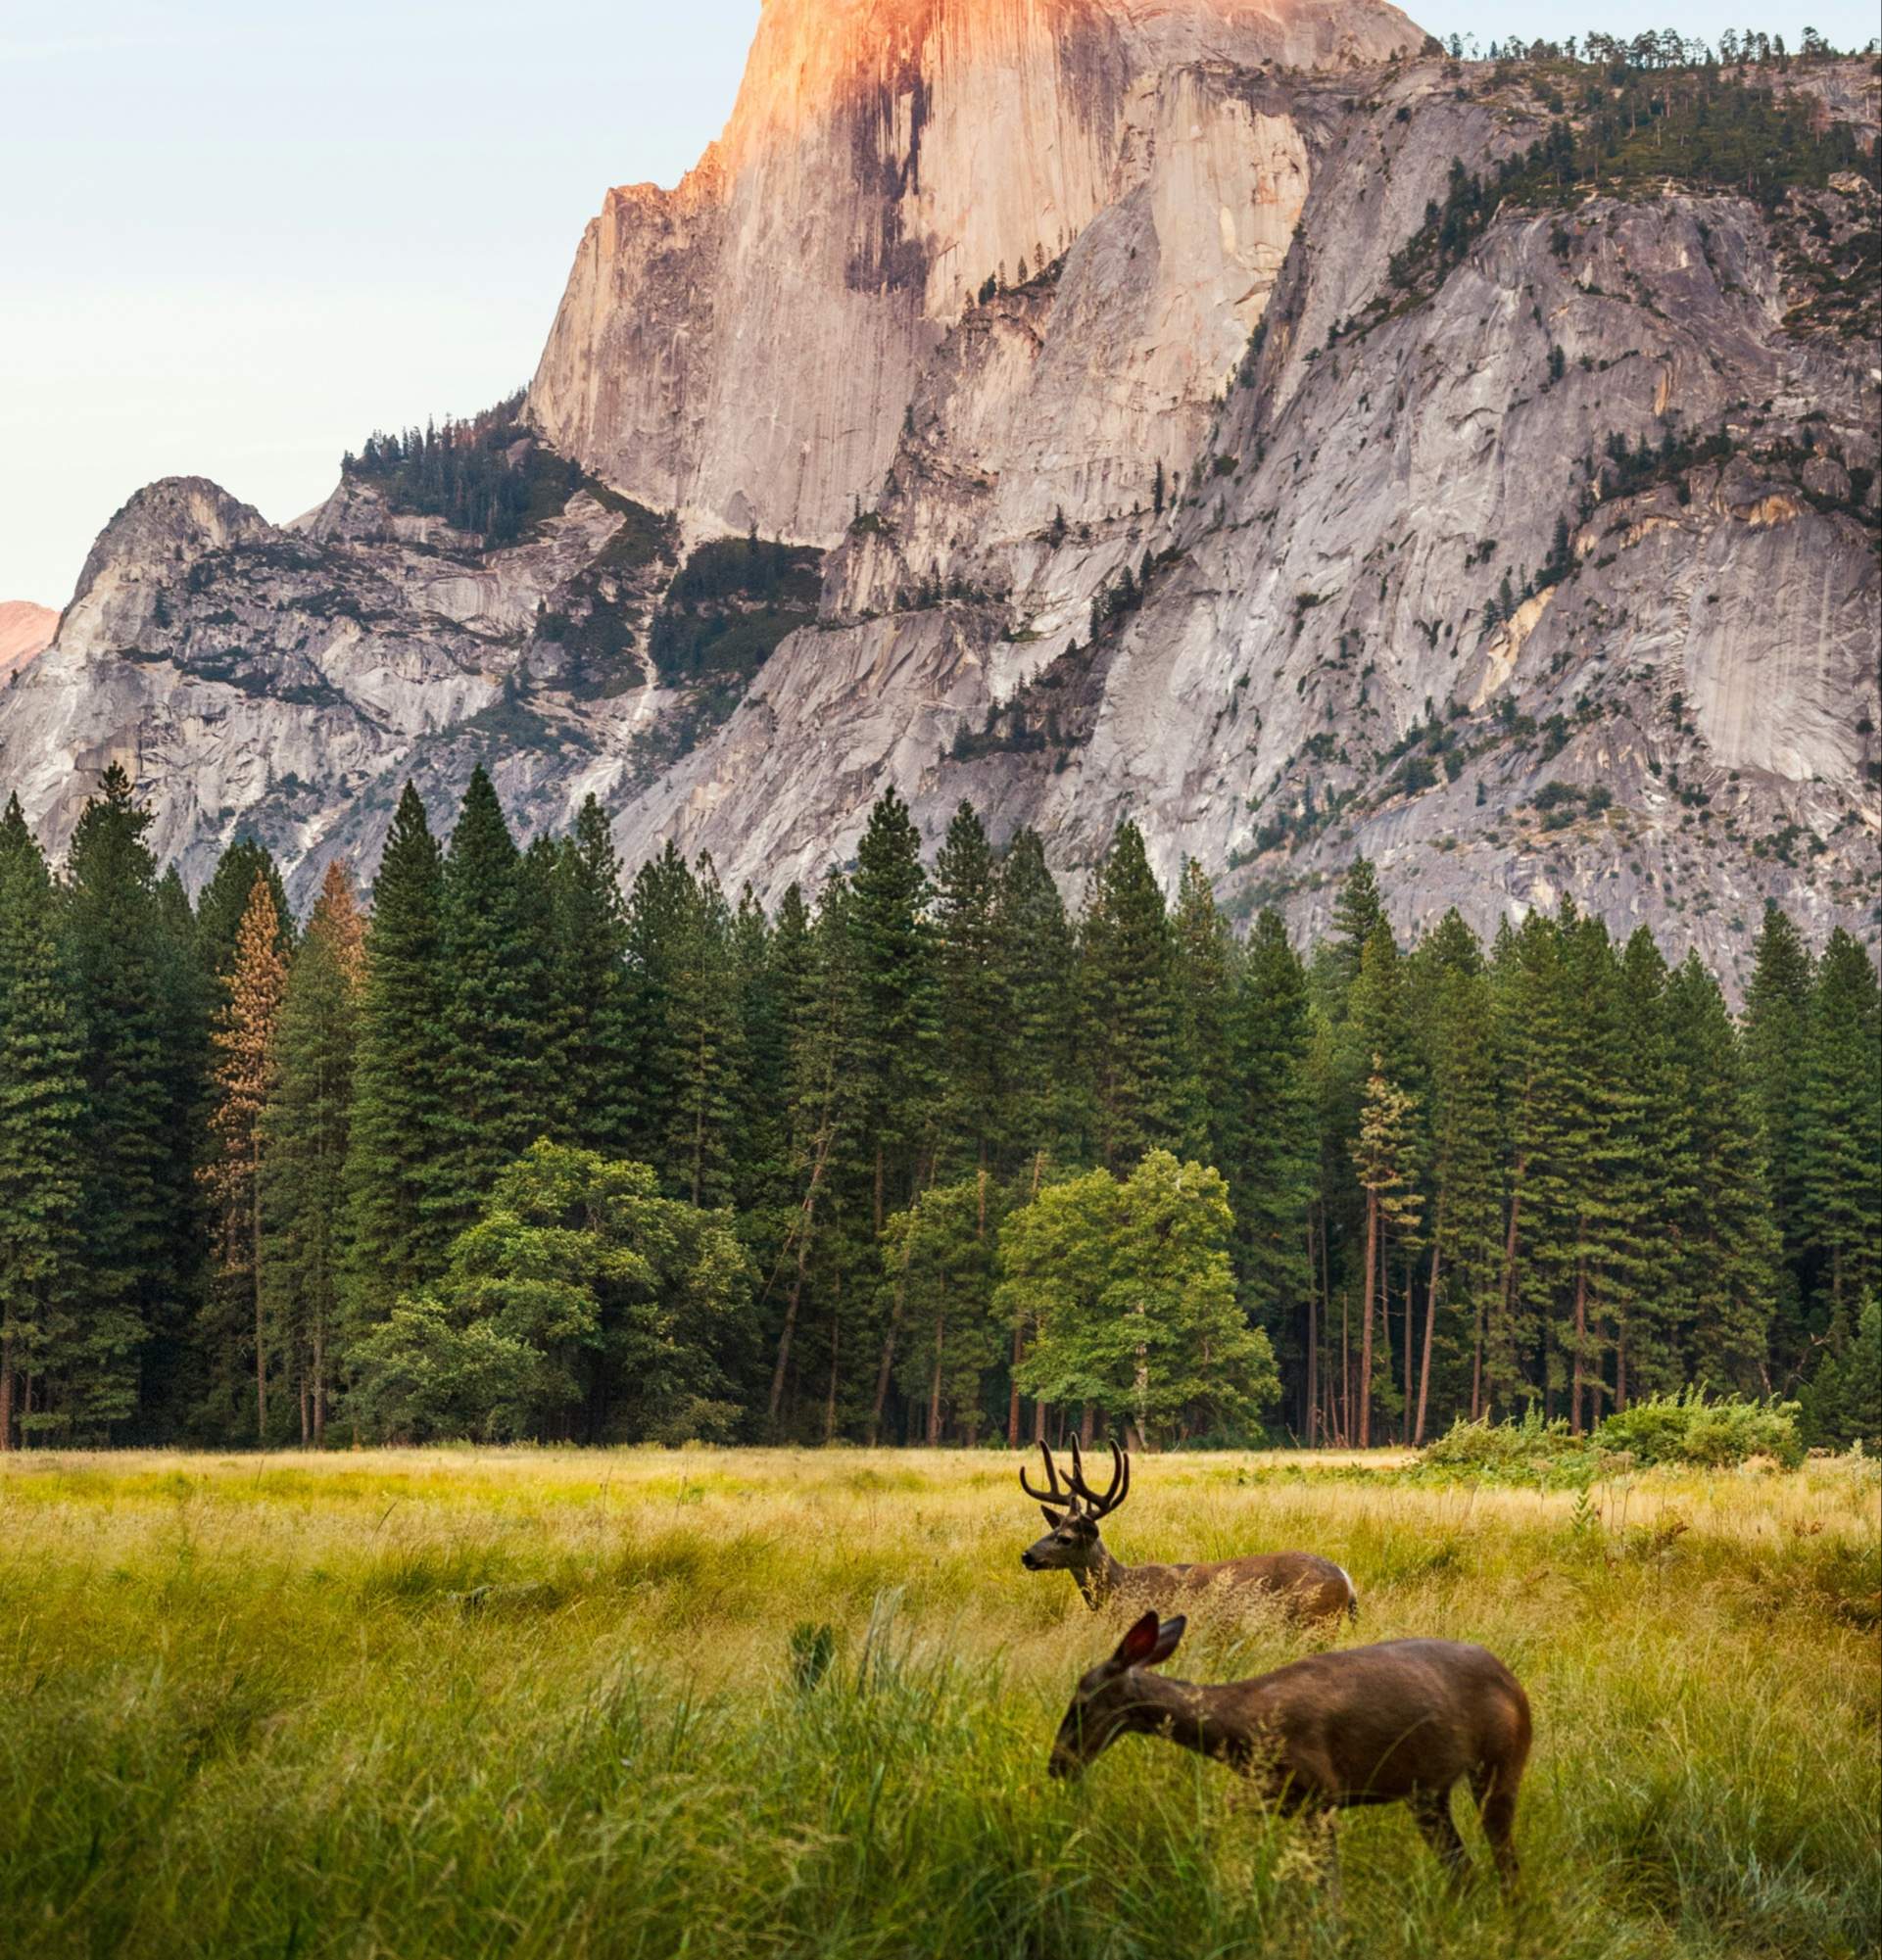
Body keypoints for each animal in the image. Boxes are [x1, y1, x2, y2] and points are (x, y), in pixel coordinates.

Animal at [1019, 1442, 1356, 1622]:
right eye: (1052, 1528)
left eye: (1066, 1538)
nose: (1027, 1555)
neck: (1121, 1587)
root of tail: (1347, 1580)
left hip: (1316, 1620)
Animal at [1050, 1606, 1520, 1881]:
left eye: (1080, 1704)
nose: (1057, 1764)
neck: (1242, 1725)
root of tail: (1512, 1681)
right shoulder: (1274, 1795)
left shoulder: (1320, 1791)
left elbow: (1327, 1885)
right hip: (1428, 1794)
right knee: (1464, 1869)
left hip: (1502, 1763)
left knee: (1506, 1865)